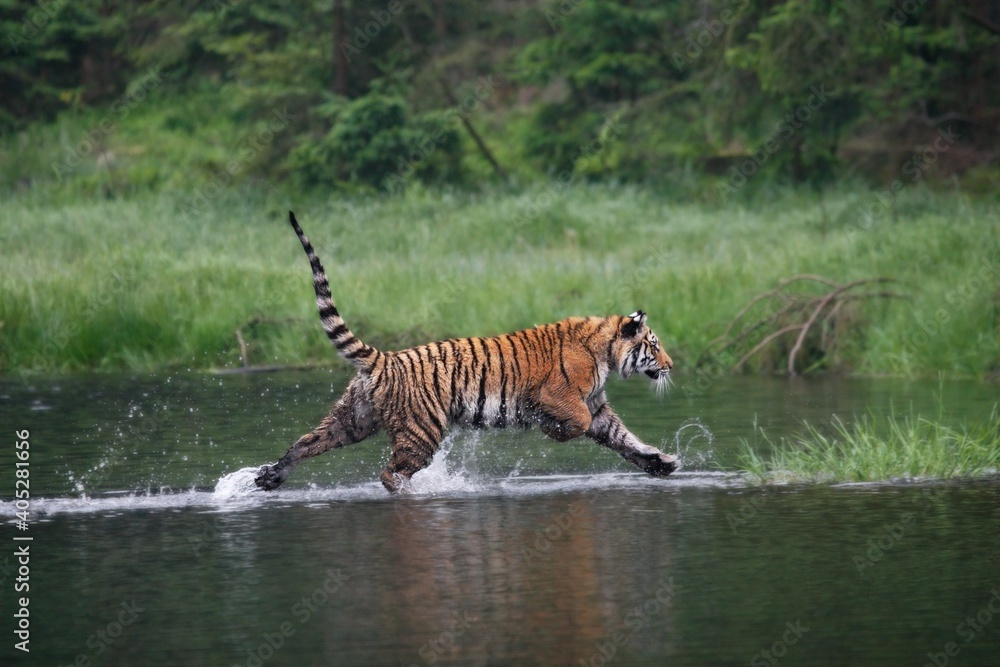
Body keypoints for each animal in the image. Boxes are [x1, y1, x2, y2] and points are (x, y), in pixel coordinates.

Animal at [255, 212, 680, 494]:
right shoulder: (560, 397)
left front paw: (661, 463)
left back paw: (270, 476)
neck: (605, 352)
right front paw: (553, 431)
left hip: (354, 419)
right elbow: (577, 422)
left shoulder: (596, 405)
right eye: (654, 345)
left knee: (307, 442)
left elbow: (623, 438)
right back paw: (414, 492)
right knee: (391, 473)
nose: (672, 365)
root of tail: (385, 358)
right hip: (420, 430)